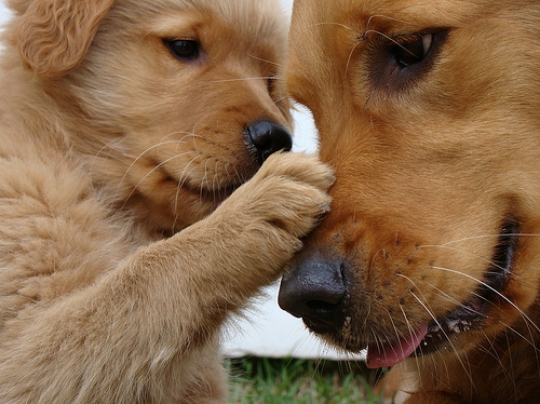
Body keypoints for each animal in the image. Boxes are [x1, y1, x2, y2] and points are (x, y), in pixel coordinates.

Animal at [0, 0, 334, 400]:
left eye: (270, 80)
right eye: (183, 46)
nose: (275, 139)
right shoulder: (17, 352)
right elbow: (140, 281)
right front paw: (254, 210)